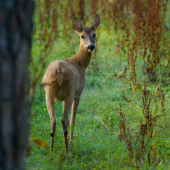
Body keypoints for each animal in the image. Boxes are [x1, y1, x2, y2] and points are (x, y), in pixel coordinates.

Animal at [42, 14, 100, 153]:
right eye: (82, 35)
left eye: (94, 34)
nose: (91, 46)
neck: (79, 63)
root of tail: (58, 71)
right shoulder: (78, 94)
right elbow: (73, 119)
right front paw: (70, 143)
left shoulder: (62, 98)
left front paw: (64, 143)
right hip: (70, 90)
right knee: (65, 119)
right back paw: (68, 150)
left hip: (49, 93)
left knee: (53, 119)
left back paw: (51, 149)